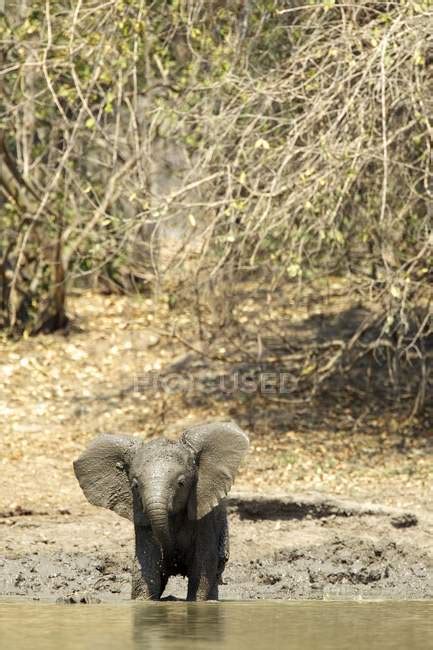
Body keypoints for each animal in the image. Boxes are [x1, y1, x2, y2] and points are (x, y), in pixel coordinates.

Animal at [73, 420, 248, 596]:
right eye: (135, 485)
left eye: (181, 483)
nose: (173, 561)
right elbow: (147, 565)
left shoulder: (203, 512)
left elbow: (203, 567)